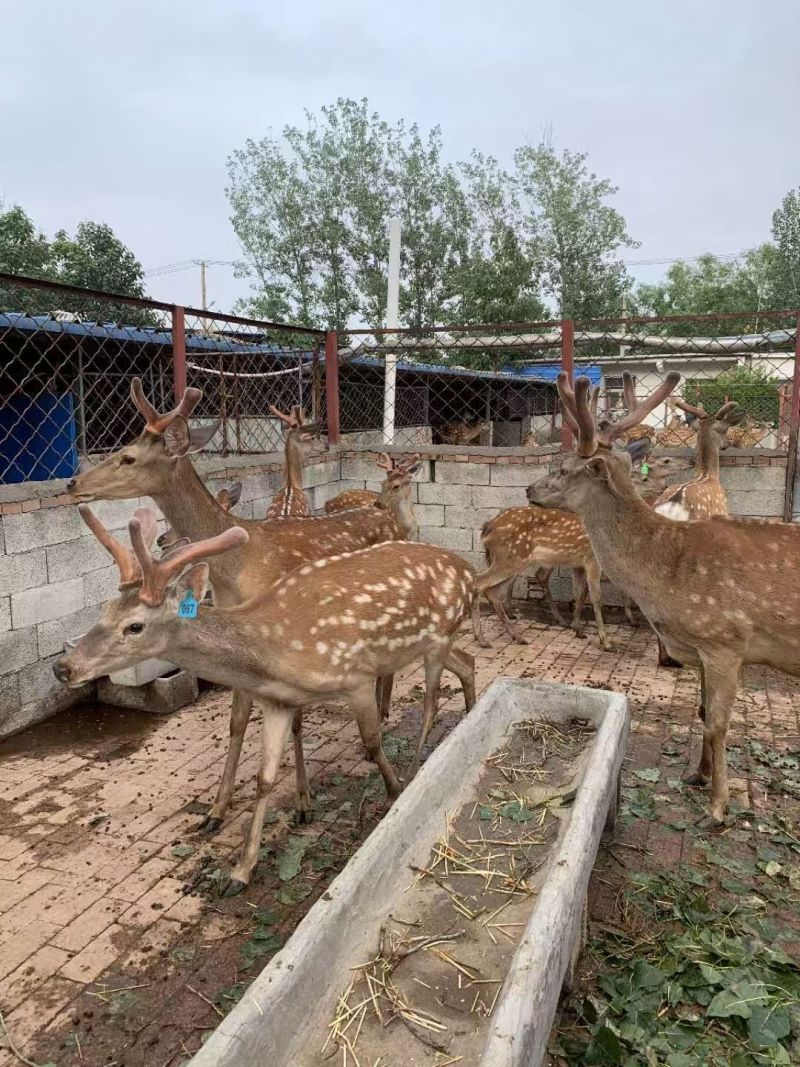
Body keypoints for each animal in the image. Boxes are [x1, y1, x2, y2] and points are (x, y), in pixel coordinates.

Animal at [54, 507, 477, 893]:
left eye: (135, 625)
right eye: (105, 609)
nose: (64, 667)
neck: (272, 653)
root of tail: (470, 571)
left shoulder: (355, 677)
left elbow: (372, 743)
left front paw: (394, 793)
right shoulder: (278, 702)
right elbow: (264, 779)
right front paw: (241, 872)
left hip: (437, 637)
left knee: (431, 701)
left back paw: (423, 761)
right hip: (432, 644)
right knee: (467, 663)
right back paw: (473, 714)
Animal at [66, 380, 422, 836]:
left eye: (128, 455)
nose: (73, 482)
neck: (234, 568)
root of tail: (394, 521)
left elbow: (295, 720)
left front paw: (304, 802)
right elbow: (236, 722)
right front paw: (216, 811)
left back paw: (383, 711)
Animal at [527, 369, 800, 827]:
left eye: (563, 468)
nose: (530, 488)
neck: (669, 571)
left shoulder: (724, 640)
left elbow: (719, 723)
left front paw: (717, 807)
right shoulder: (705, 646)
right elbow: (703, 713)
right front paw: (697, 775)